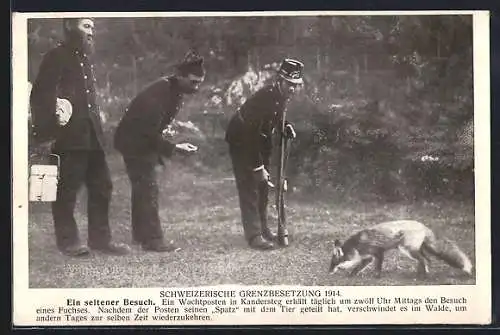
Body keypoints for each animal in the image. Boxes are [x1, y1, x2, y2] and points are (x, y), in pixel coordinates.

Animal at [328, 219, 472, 280]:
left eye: (333, 263)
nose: (328, 272)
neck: (357, 246)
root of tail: (423, 225)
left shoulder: (378, 252)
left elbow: (378, 268)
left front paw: (377, 277)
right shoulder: (367, 257)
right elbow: (357, 268)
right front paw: (351, 275)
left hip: (407, 250)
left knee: (425, 260)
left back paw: (424, 276)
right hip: (415, 250)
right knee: (427, 260)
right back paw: (420, 274)